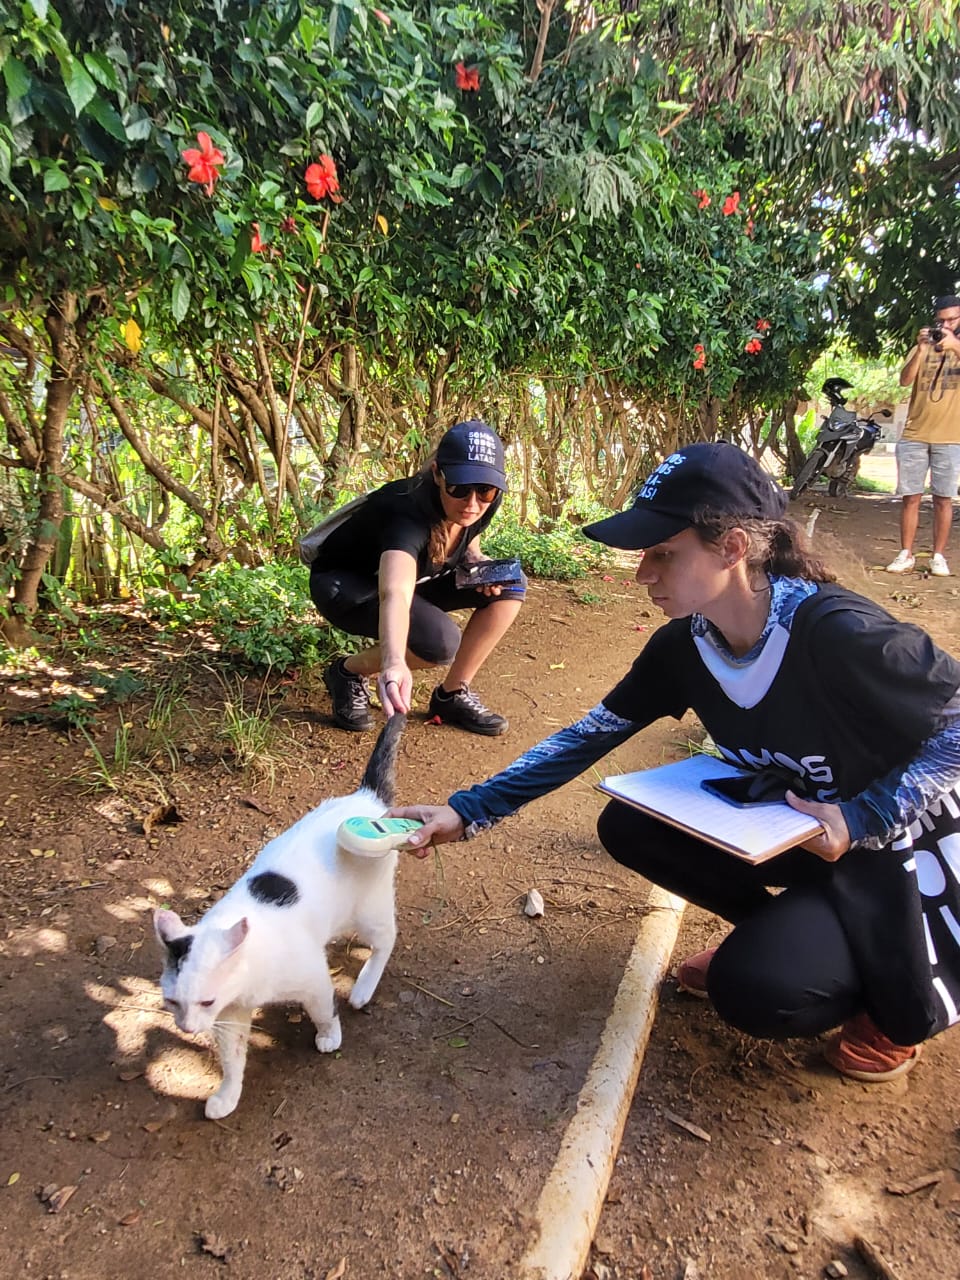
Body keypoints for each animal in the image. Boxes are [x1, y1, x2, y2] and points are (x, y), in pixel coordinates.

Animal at [154, 714, 405, 1119]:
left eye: (205, 1002)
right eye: (172, 1002)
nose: (187, 1030)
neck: (248, 984)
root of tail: (365, 798)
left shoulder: (312, 979)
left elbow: (323, 1009)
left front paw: (329, 1035)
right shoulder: (232, 1014)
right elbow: (232, 1059)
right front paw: (228, 1095)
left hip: (370, 910)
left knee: (386, 941)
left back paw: (363, 988)